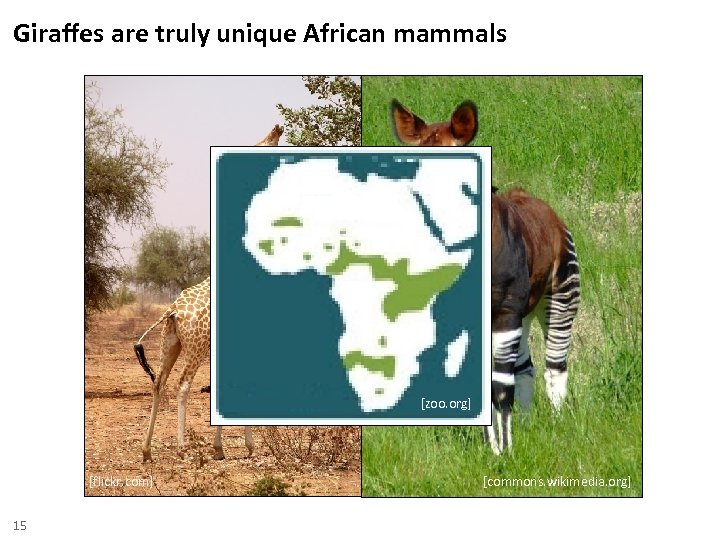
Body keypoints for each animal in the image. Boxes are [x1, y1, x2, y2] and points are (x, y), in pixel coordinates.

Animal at [133, 125, 283, 462]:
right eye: (262, 145)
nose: (277, 128)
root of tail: (173, 311)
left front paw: (221, 448)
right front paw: (245, 446)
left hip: (170, 343)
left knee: (159, 383)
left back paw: (147, 451)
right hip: (196, 347)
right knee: (182, 385)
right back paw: (182, 448)